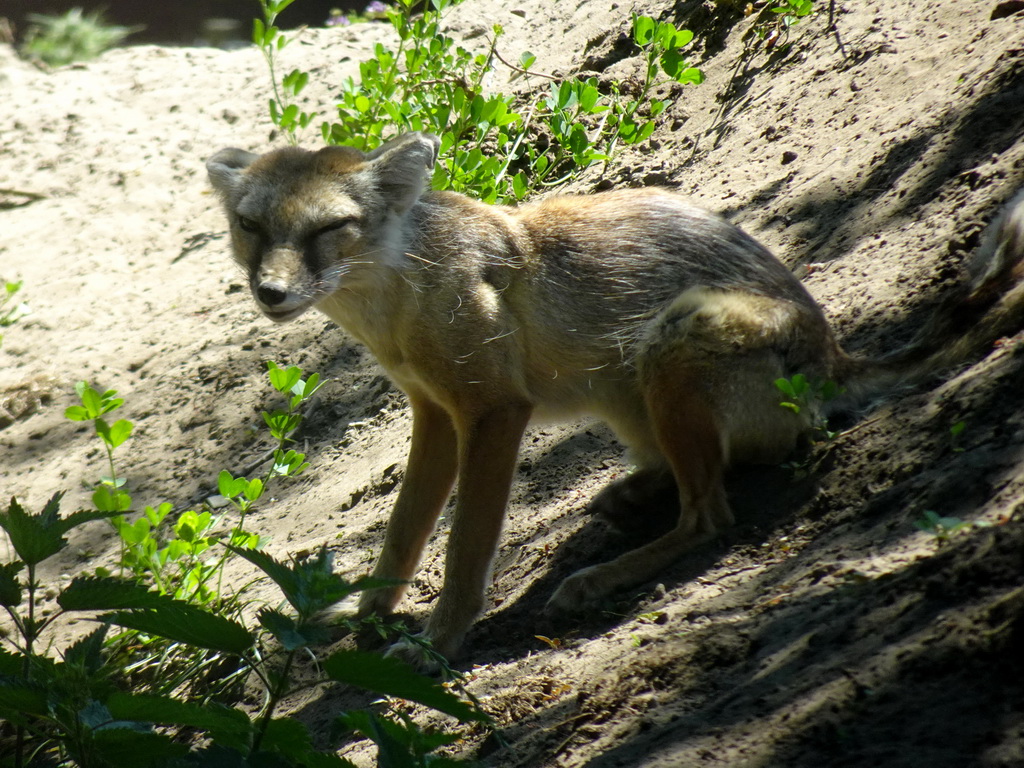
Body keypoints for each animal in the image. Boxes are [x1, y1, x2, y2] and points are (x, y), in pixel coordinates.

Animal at [205, 132, 1024, 667]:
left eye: (329, 229)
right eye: (250, 227)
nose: (269, 293)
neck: (399, 305)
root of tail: (831, 355)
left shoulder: (493, 412)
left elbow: (465, 549)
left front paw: (438, 643)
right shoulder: (434, 414)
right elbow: (402, 538)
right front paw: (366, 618)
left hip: (672, 339)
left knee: (711, 517)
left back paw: (602, 573)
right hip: (628, 394)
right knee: (702, 477)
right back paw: (628, 498)